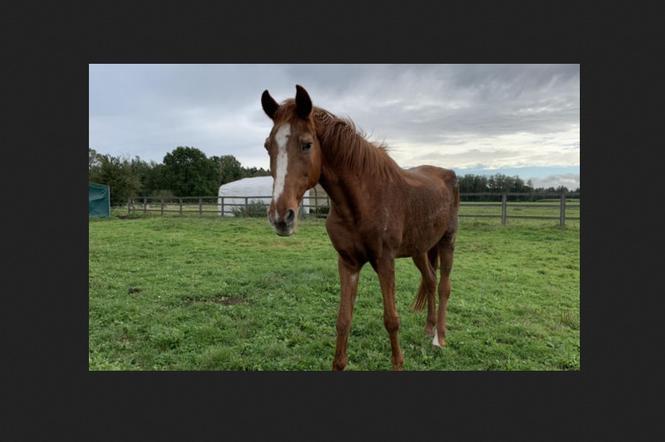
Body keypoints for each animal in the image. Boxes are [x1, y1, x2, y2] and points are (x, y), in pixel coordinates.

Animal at [262, 84, 460, 368]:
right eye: (268, 146)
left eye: (307, 144)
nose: (281, 217)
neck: (362, 201)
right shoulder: (348, 263)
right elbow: (343, 321)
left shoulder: (385, 261)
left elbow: (392, 320)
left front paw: (398, 363)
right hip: (420, 249)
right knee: (430, 280)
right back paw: (428, 329)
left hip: (447, 241)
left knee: (444, 286)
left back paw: (439, 339)